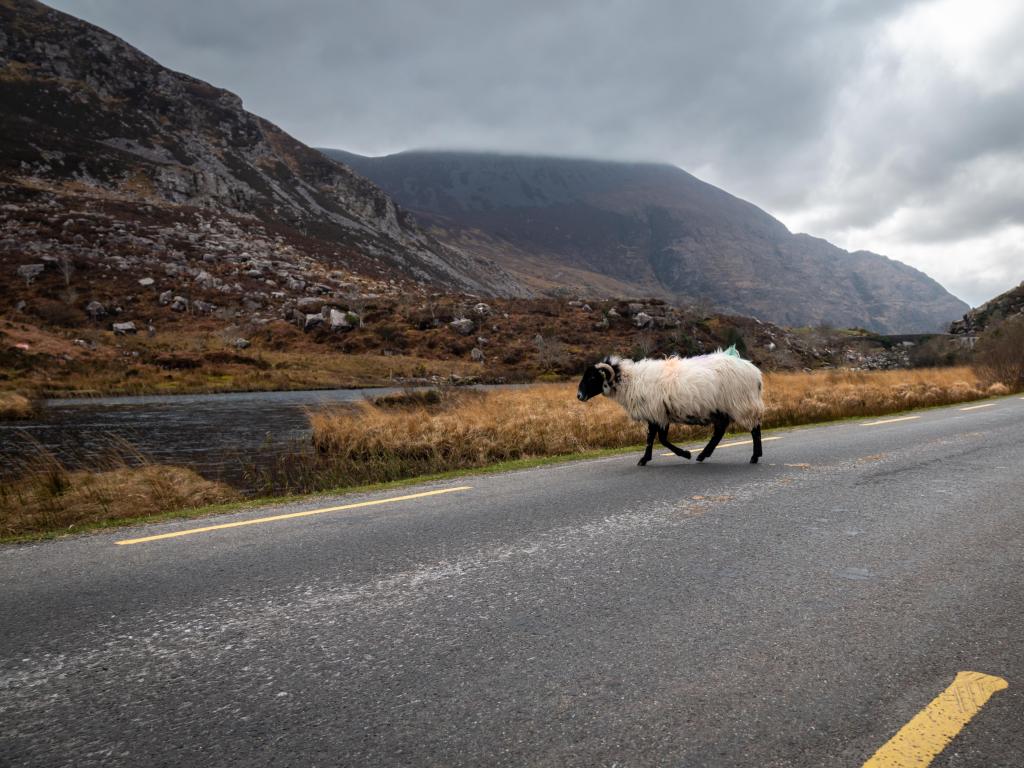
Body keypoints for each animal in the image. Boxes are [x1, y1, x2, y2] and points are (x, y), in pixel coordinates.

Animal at [573, 348, 765, 462]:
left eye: (593, 377)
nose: (579, 396)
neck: (629, 381)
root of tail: (755, 373)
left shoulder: (656, 412)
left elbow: (658, 439)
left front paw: (683, 454)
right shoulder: (659, 413)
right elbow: (655, 438)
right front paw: (647, 458)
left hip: (741, 403)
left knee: (755, 429)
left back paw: (755, 456)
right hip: (721, 408)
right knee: (720, 432)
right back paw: (703, 455)